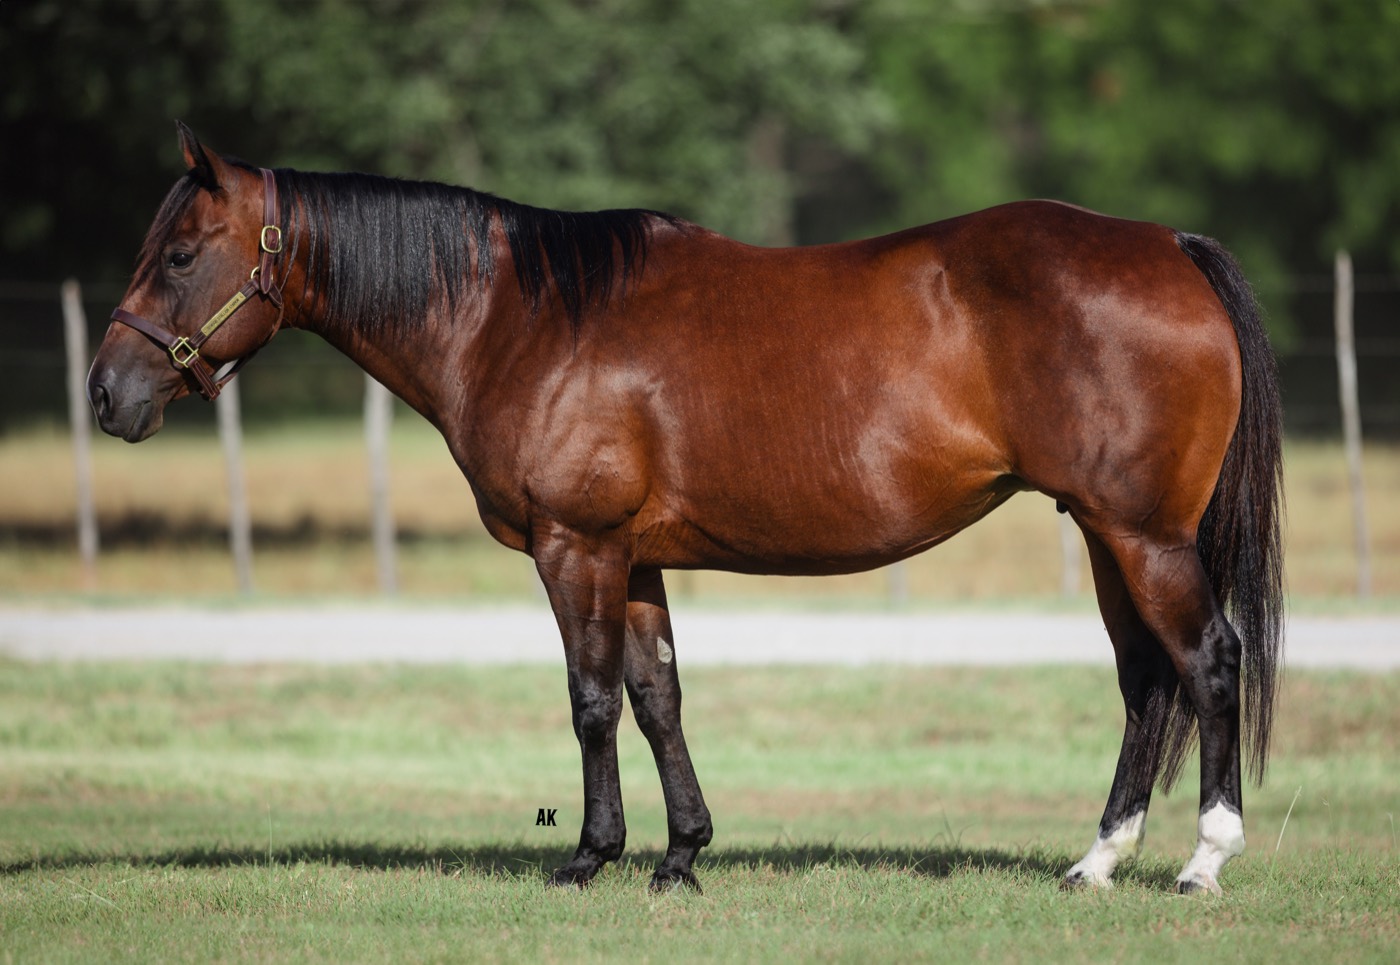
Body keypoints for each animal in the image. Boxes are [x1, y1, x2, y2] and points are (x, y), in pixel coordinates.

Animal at [89, 122, 1283, 895]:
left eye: (180, 254)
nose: (106, 393)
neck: (518, 316)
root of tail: (1166, 244)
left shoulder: (574, 548)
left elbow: (590, 701)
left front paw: (587, 856)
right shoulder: (636, 558)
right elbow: (658, 696)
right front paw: (679, 855)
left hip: (1143, 536)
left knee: (1208, 661)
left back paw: (1202, 860)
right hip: (1105, 533)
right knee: (1145, 681)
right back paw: (1095, 861)